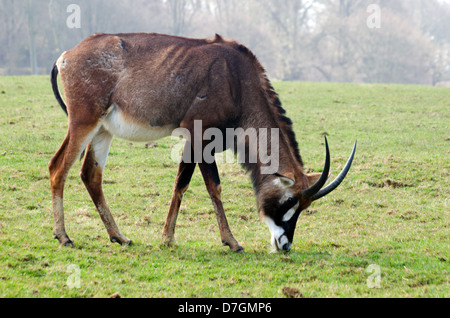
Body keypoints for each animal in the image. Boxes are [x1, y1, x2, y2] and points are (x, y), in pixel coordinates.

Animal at [49, 33, 356, 253]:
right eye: (290, 199)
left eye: (304, 206)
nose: (285, 245)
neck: (237, 80)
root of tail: (65, 56)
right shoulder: (200, 136)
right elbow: (210, 186)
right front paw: (231, 242)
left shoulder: (195, 140)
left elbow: (182, 183)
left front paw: (167, 238)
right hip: (83, 122)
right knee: (58, 167)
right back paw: (64, 237)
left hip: (103, 130)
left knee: (90, 174)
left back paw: (119, 236)